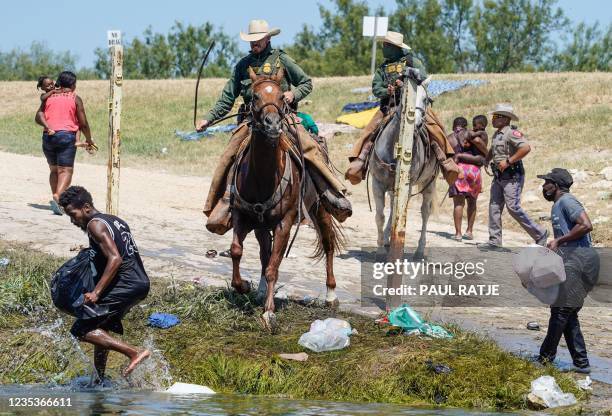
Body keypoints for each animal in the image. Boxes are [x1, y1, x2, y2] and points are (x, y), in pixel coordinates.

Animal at [231, 66, 344, 332]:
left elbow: (274, 267)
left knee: (328, 243)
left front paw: (269, 313)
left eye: (282, 97)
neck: (262, 177)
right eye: (255, 96)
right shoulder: (242, 215)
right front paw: (244, 286)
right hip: (262, 226)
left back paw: (331, 294)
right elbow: (237, 251)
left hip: (319, 208)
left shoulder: (285, 222)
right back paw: (261, 290)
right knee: (264, 253)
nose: (272, 125)